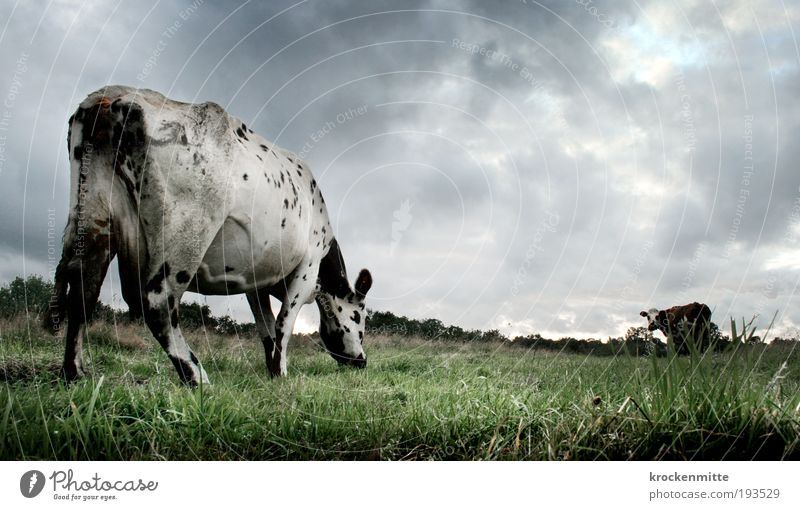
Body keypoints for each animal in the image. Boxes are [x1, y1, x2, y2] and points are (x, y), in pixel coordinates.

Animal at [41, 85, 372, 384]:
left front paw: (271, 370)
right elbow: (284, 323)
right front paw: (281, 372)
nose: (361, 361)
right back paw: (196, 375)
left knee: (82, 288)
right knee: (157, 302)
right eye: (360, 316)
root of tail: (112, 97)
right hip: (186, 233)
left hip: (92, 215)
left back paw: (74, 371)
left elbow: (265, 325)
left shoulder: (256, 281)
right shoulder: (306, 269)